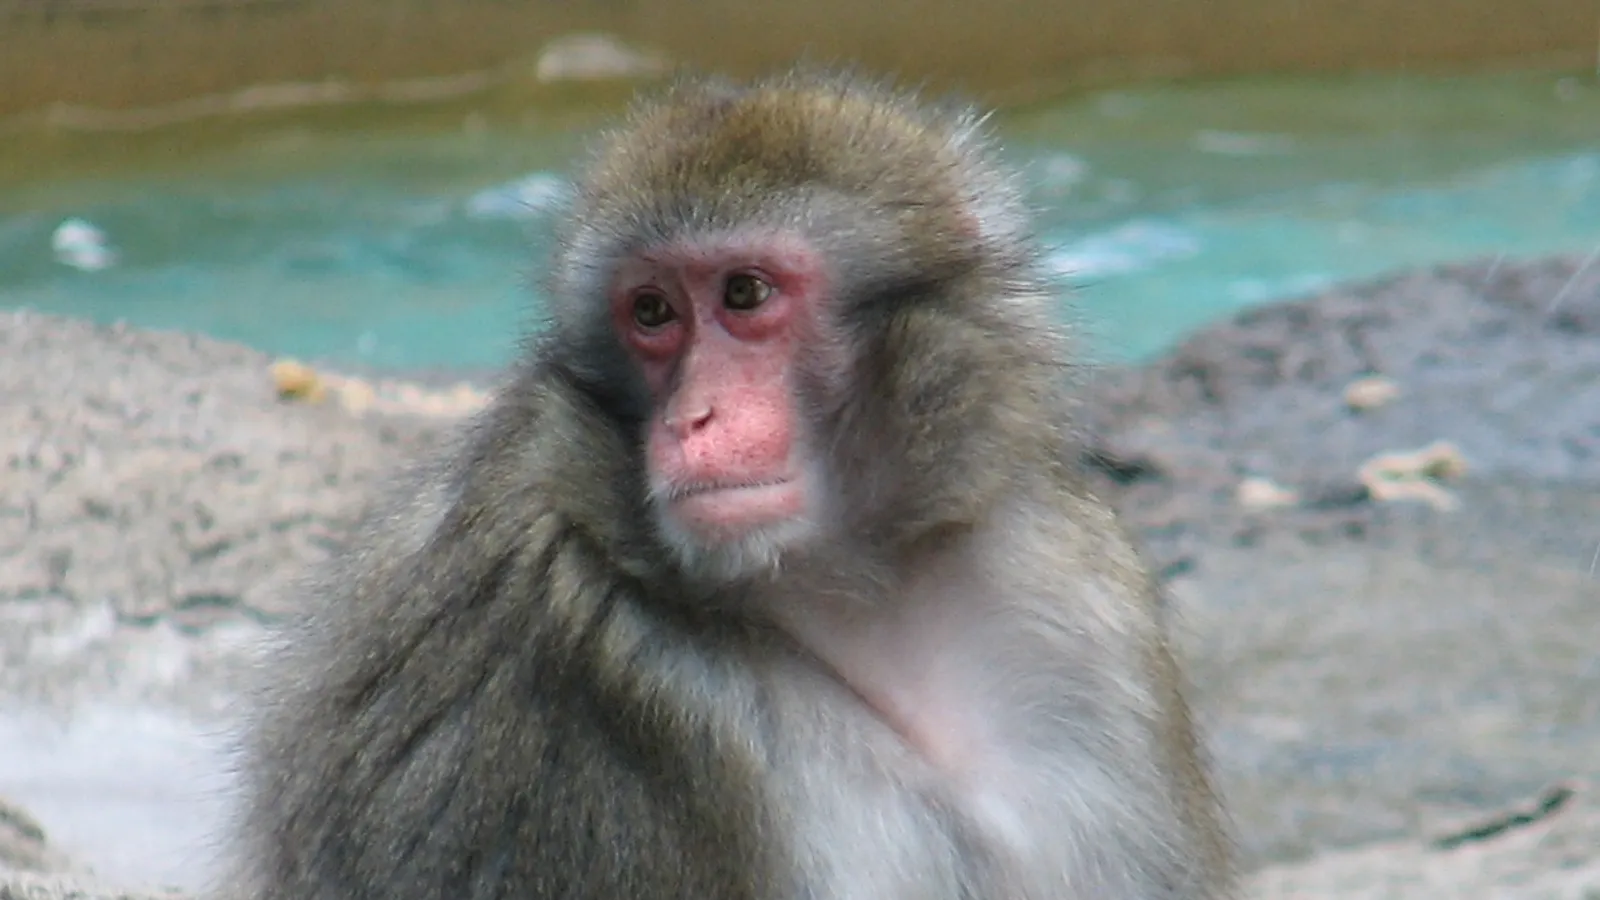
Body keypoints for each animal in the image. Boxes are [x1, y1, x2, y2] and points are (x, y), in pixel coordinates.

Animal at [219, 69, 1234, 900]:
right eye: (652, 312)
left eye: (743, 294)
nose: (692, 421)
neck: (861, 596)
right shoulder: (557, 668)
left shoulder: (1075, 609)